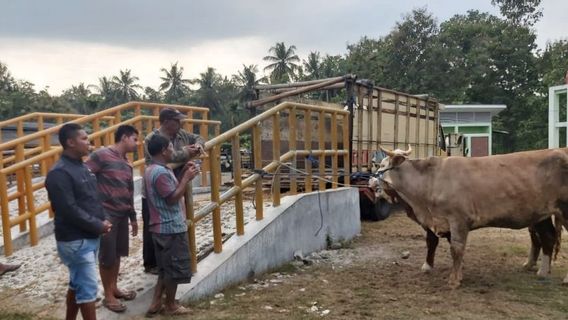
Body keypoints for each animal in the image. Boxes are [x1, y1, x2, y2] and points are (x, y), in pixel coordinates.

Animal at [370, 146, 568, 288]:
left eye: (381, 166)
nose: (370, 181)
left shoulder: (458, 220)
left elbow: (456, 249)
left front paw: (454, 280)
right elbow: (440, 244)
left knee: (547, 237)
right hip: (541, 215)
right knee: (544, 237)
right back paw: (539, 269)